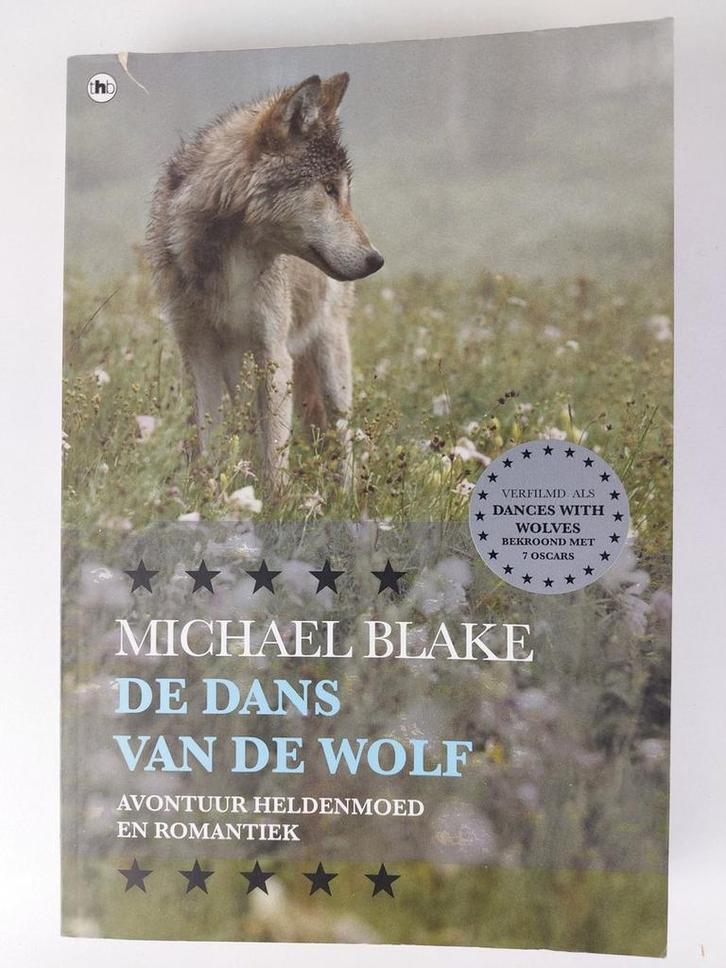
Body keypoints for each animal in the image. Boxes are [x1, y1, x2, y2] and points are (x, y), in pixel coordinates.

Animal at [146, 72, 383, 488]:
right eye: (329, 189)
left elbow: (275, 457)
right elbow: (211, 443)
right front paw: (211, 494)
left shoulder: (273, 354)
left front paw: (278, 500)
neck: (230, 260)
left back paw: (347, 495)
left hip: (329, 357)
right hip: (240, 370)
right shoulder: (200, 353)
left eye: (344, 193)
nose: (376, 259)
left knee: (343, 433)